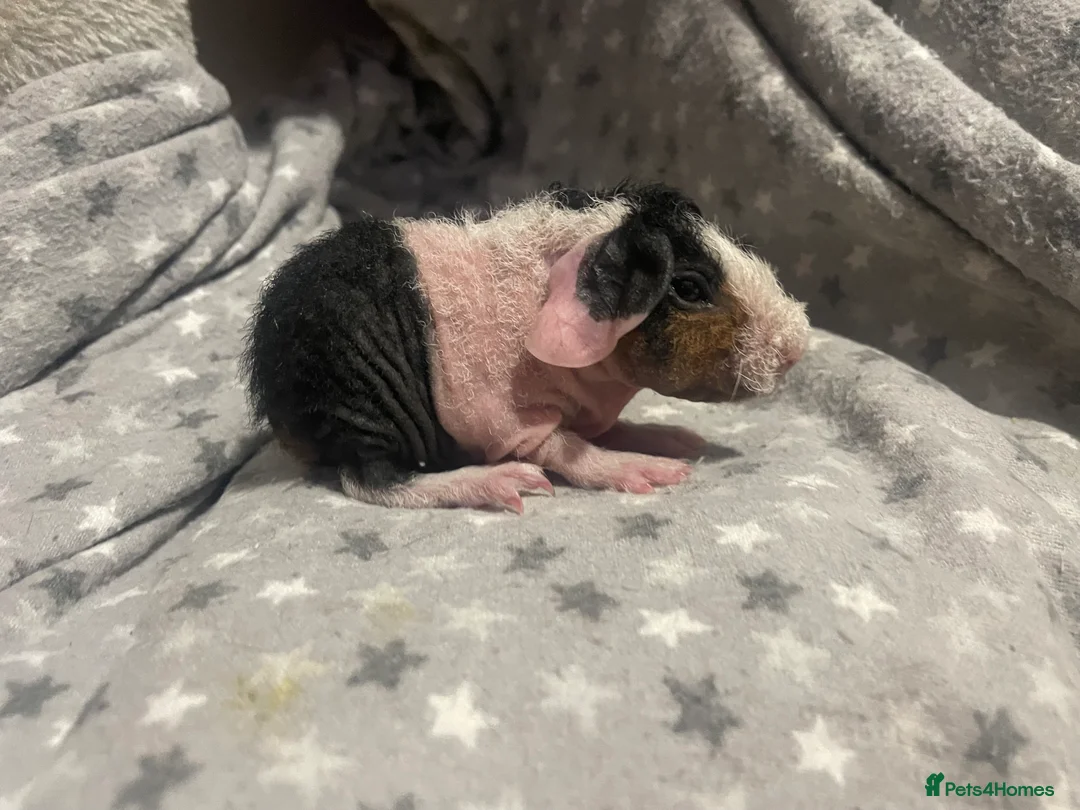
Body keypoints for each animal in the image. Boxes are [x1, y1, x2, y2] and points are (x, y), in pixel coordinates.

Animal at [240, 180, 811, 512]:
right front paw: (657, 474)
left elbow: (610, 430)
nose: (798, 348)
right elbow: (569, 451)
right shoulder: (513, 421)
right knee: (372, 481)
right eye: (689, 288)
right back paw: (509, 485)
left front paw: (682, 441)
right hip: (366, 408)